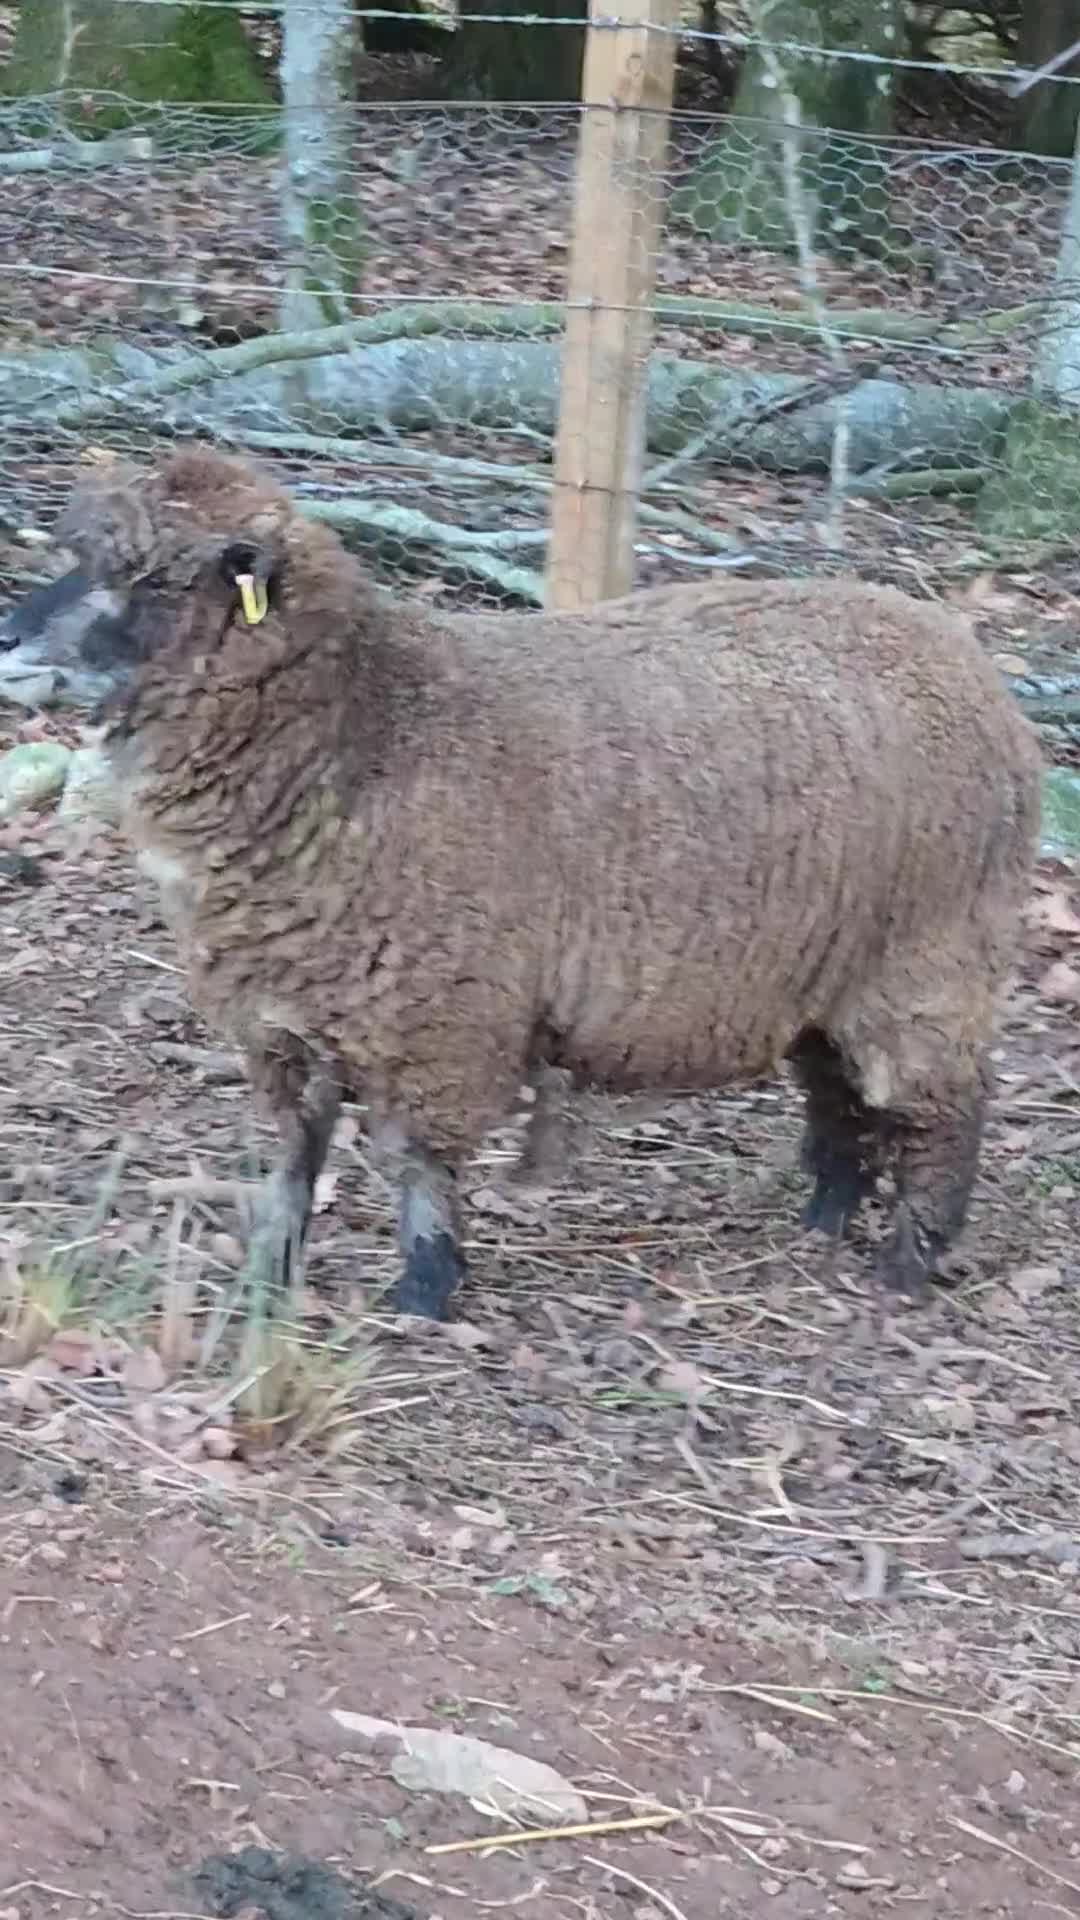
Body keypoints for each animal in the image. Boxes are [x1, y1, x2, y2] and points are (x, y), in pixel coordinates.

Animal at [0, 446, 1042, 1321]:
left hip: (929, 954)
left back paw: (907, 1260)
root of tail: (975, 665)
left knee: (943, 1106)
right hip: (830, 960)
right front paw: (268, 1276)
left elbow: (414, 1160)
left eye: (152, 576)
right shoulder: (289, 1013)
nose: (8, 641)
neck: (363, 728)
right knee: (838, 1087)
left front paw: (424, 1290)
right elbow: (295, 1157)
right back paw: (824, 1214)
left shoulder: (437, 1018)